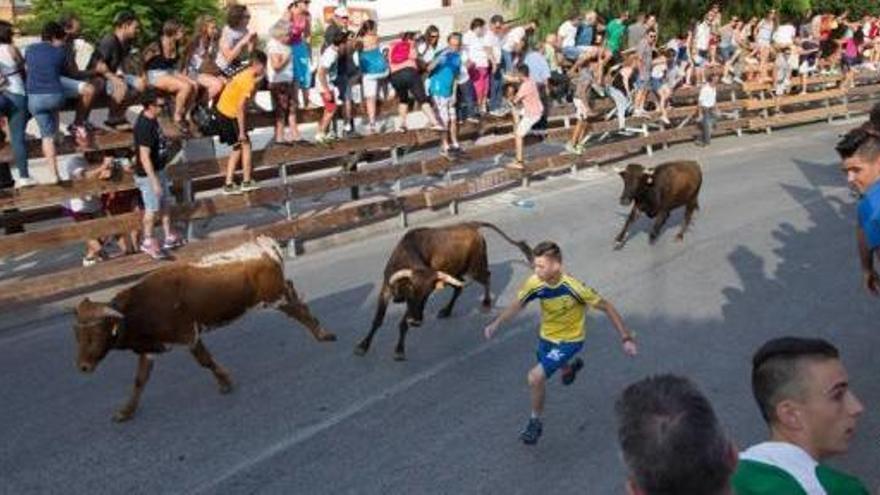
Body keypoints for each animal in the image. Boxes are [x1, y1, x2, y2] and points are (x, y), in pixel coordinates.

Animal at [74, 236, 336, 422]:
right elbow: (140, 380)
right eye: (77, 336)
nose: (83, 367)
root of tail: (263, 243)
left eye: (95, 334)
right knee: (297, 301)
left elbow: (205, 361)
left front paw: (225, 382)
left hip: (275, 296)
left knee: (299, 309)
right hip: (279, 294)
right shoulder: (149, 349)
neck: (139, 306)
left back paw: (323, 334)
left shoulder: (189, 335)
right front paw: (126, 411)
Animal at [354, 224, 532, 360]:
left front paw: (399, 350)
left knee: (487, 277)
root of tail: (471, 226)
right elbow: (377, 320)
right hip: (456, 272)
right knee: (459, 288)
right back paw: (446, 311)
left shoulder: (413, 307)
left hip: (475, 268)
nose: (416, 322)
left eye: (428, 293)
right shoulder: (386, 290)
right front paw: (363, 346)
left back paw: (486, 303)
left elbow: (402, 323)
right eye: (411, 289)